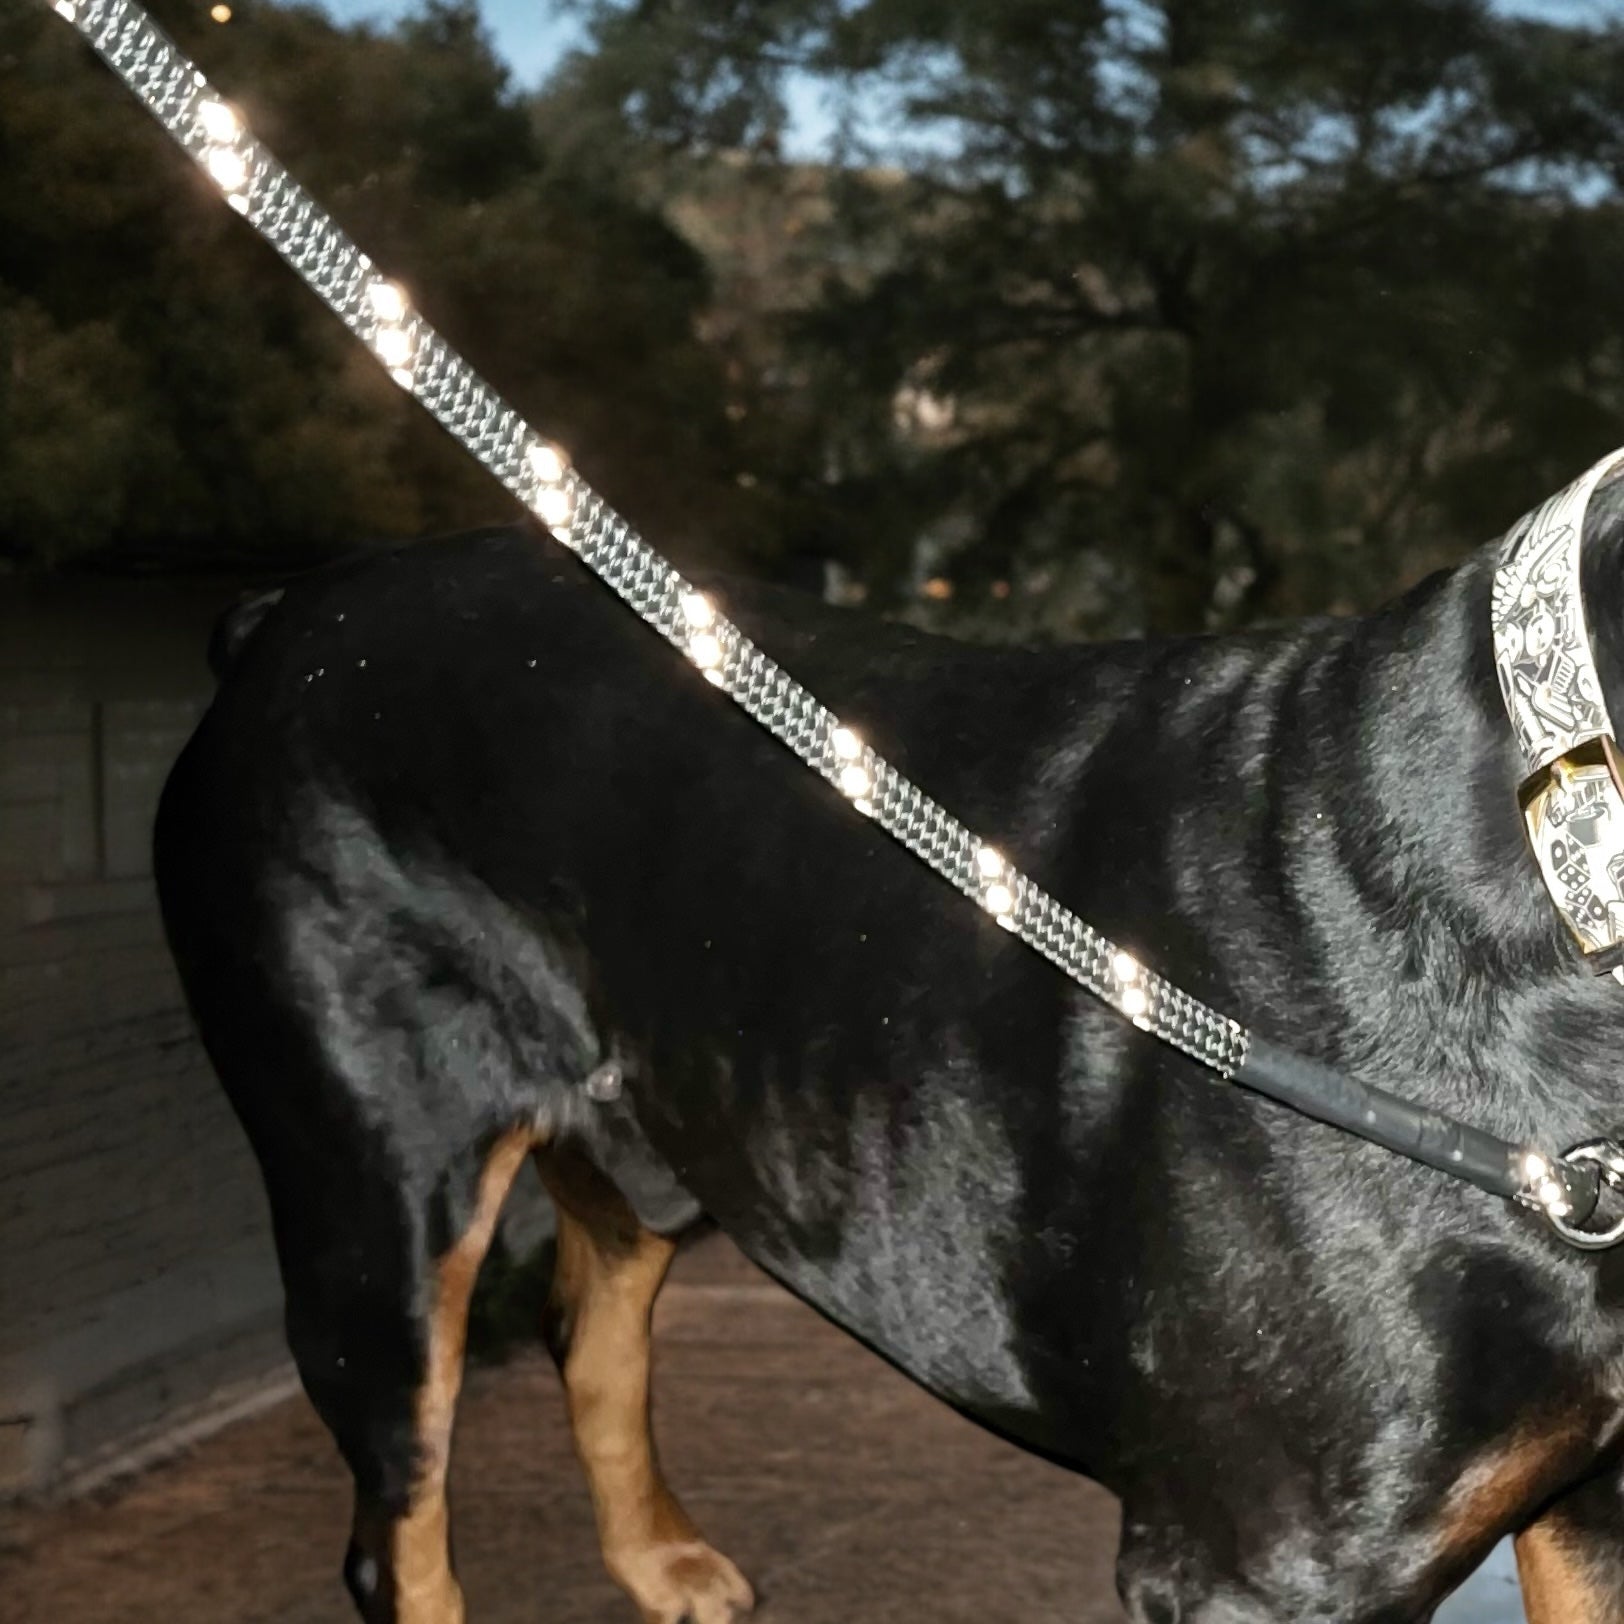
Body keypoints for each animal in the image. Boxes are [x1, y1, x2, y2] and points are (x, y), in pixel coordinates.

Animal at [158, 474, 1624, 1624]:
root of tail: (281, 618)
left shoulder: (1591, 1499)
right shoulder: (1267, 1568)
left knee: (594, 1331)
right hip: (376, 1208)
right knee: (396, 1532)